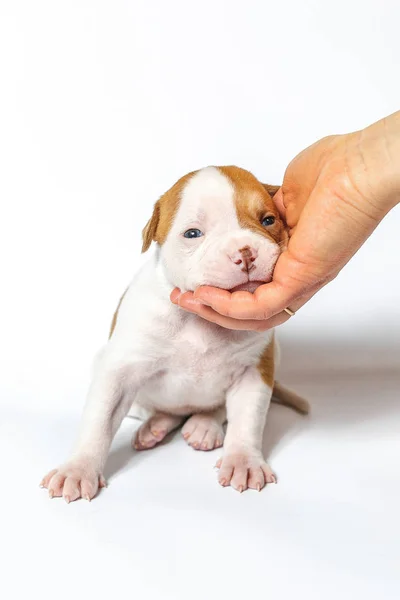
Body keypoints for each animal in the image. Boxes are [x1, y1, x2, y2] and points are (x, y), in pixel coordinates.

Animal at [40, 165, 310, 502]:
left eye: (268, 220)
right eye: (192, 233)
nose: (245, 253)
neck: (199, 321)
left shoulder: (254, 369)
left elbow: (247, 419)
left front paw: (243, 461)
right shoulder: (120, 369)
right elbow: (99, 420)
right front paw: (78, 469)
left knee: (215, 410)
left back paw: (203, 426)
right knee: (157, 409)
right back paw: (155, 426)